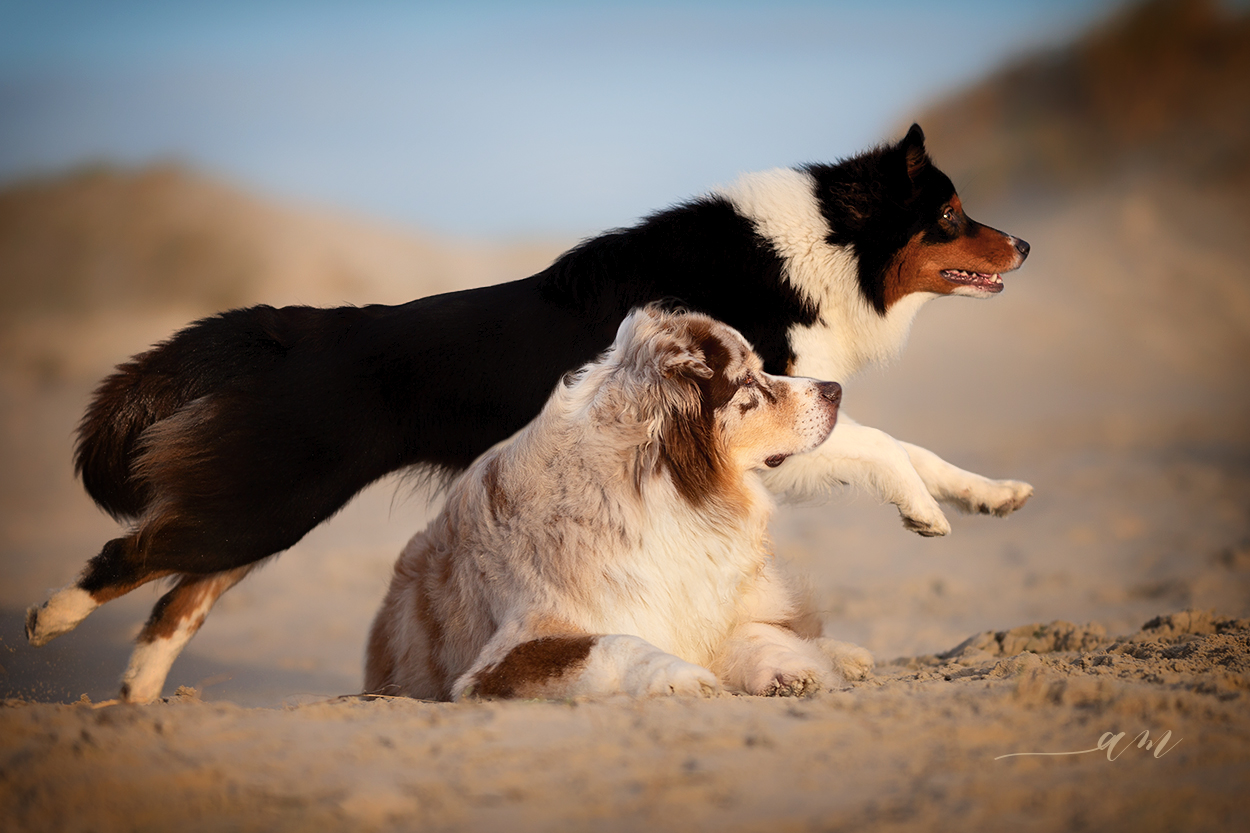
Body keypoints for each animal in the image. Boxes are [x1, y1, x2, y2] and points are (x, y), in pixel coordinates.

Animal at [362, 306, 870, 700]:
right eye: (747, 380)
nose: (834, 390)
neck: (661, 492)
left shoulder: (716, 603)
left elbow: (758, 630)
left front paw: (793, 668)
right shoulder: (507, 653)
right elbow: (614, 643)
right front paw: (682, 675)